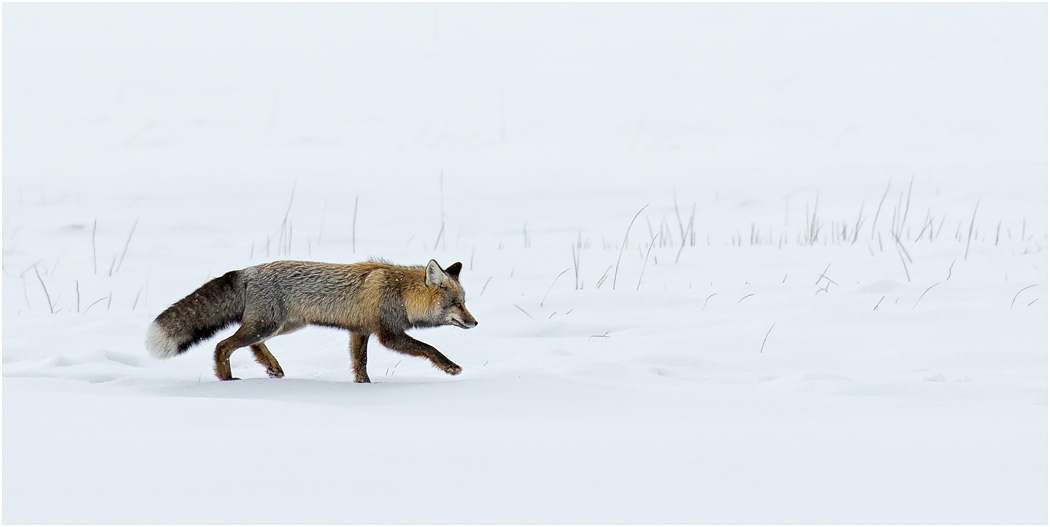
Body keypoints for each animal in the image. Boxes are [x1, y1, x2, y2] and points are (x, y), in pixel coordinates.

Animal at [145, 259, 477, 382]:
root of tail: (249, 270)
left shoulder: (360, 332)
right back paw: (226, 380)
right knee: (222, 346)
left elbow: (360, 364)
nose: (475, 323)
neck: (399, 291)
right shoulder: (389, 334)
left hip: (282, 326)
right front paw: (451, 367)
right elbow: (429, 348)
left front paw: (364, 386)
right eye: (458, 304)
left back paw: (273, 368)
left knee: (251, 346)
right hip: (267, 325)